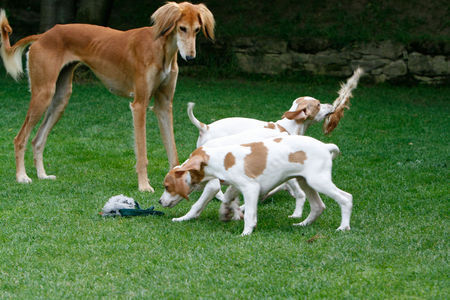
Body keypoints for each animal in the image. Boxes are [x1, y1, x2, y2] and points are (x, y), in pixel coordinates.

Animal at [0, 2, 215, 192]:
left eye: (197, 30)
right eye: (182, 28)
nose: (190, 57)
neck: (162, 49)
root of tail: (43, 35)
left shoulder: (164, 105)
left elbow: (172, 150)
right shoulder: (139, 104)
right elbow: (142, 152)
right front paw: (144, 186)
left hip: (60, 98)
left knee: (37, 139)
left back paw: (42, 175)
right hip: (43, 94)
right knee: (20, 139)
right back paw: (22, 176)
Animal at [160, 135, 354, 236]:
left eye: (167, 187)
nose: (160, 202)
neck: (221, 159)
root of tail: (326, 146)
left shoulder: (250, 189)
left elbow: (249, 214)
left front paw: (246, 232)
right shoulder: (235, 186)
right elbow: (229, 199)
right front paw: (226, 213)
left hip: (318, 181)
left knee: (346, 198)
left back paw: (343, 227)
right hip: (305, 182)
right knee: (318, 206)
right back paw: (303, 224)